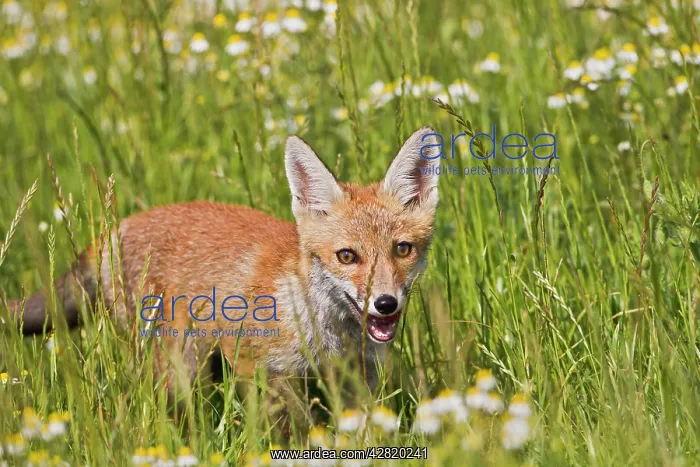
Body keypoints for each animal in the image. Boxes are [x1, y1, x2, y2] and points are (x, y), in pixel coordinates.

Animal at [5, 126, 440, 404]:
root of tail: (116, 228)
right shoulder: (256, 365)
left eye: (402, 249)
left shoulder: (358, 378)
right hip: (178, 369)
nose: (385, 304)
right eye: (347, 256)